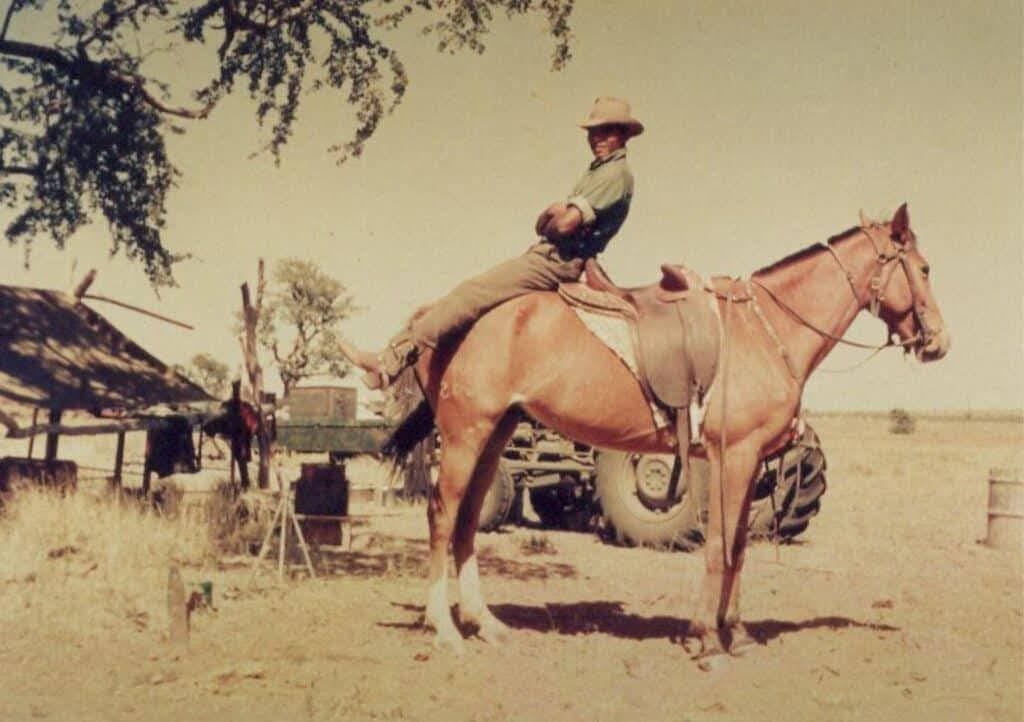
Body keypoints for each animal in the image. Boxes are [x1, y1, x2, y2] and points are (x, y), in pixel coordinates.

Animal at [344, 202, 950, 659]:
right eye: (923, 268)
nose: (939, 342)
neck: (763, 331)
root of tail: (432, 326)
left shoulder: (749, 460)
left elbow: (737, 547)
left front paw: (736, 634)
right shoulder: (732, 457)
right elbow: (719, 547)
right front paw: (707, 639)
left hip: (493, 434)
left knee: (467, 521)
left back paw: (484, 622)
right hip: (466, 433)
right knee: (442, 517)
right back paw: (444, 629)